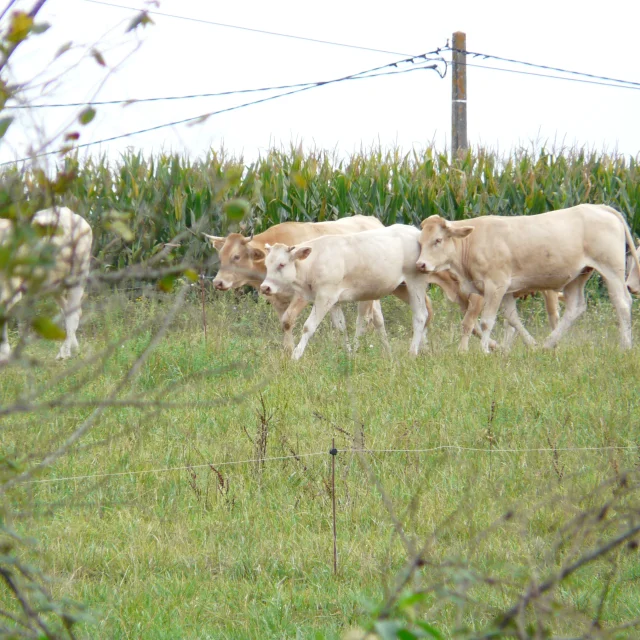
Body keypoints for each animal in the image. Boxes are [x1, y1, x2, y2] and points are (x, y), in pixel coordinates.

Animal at [0, 208, 92, 362]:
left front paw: (4, 355)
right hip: (54, 285)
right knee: (70, 311)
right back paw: (74, 349)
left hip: (77, 277)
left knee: (72, 314)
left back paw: (63, 354)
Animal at [260, 224, 430, 360]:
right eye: (267, 264)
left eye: (281, 264)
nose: (265, 287)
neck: (314, 262)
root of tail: (414, 231)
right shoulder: (334, 301)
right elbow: (341, 328)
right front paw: (349, 355)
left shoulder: (324, 297)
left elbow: (308, 326)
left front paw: (295, 356)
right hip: (401, 287)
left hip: (415, 283)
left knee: (420, 316)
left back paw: (412, 353)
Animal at [412, 205, 636, 352]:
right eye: (420, 241)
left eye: (438, 240)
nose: (420, 264)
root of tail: (598, 207)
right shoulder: (506, 291)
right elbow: (512, 318)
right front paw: (529, 344)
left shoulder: (495, 286)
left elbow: (486, 322)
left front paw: (484, 351)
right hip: (578, 275)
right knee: (575, 307)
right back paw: (548, 344)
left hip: (611, 270)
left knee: (622, 303)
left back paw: (626, 346)